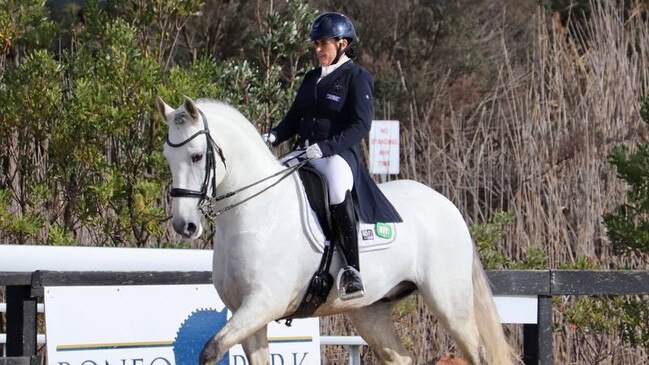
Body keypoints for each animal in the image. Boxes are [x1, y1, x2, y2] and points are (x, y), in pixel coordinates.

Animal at [157, 95, 516, 362]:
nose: (184, 225)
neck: (257, 213)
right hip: (370, 310)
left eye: (197, 156)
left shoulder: (262, 304)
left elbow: (210, 350)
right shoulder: (247, 316)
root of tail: (446, 204)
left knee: (477, 354)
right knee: (399, 357)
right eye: (168, 158)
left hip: (450, 303)